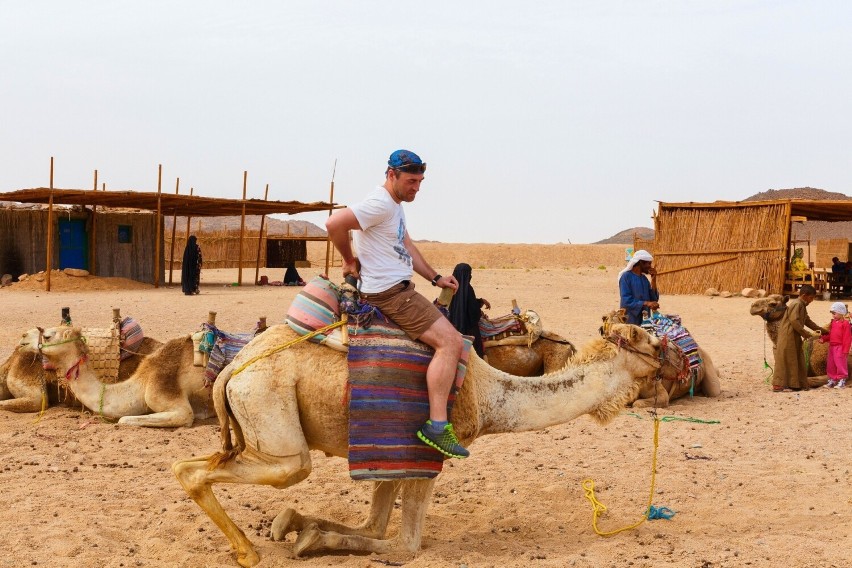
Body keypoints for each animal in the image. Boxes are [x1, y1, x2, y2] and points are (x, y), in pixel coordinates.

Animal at [173, 322, 664, 564]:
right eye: (656, 343)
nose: (673, 362)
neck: (489, 395)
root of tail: (232, 368)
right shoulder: (427, 454)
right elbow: (404, 546)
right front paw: (308, 538)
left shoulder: (388, 451)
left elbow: (373, 525)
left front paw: (297, 525)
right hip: (269, 407)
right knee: (210, 469)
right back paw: (247, 552)